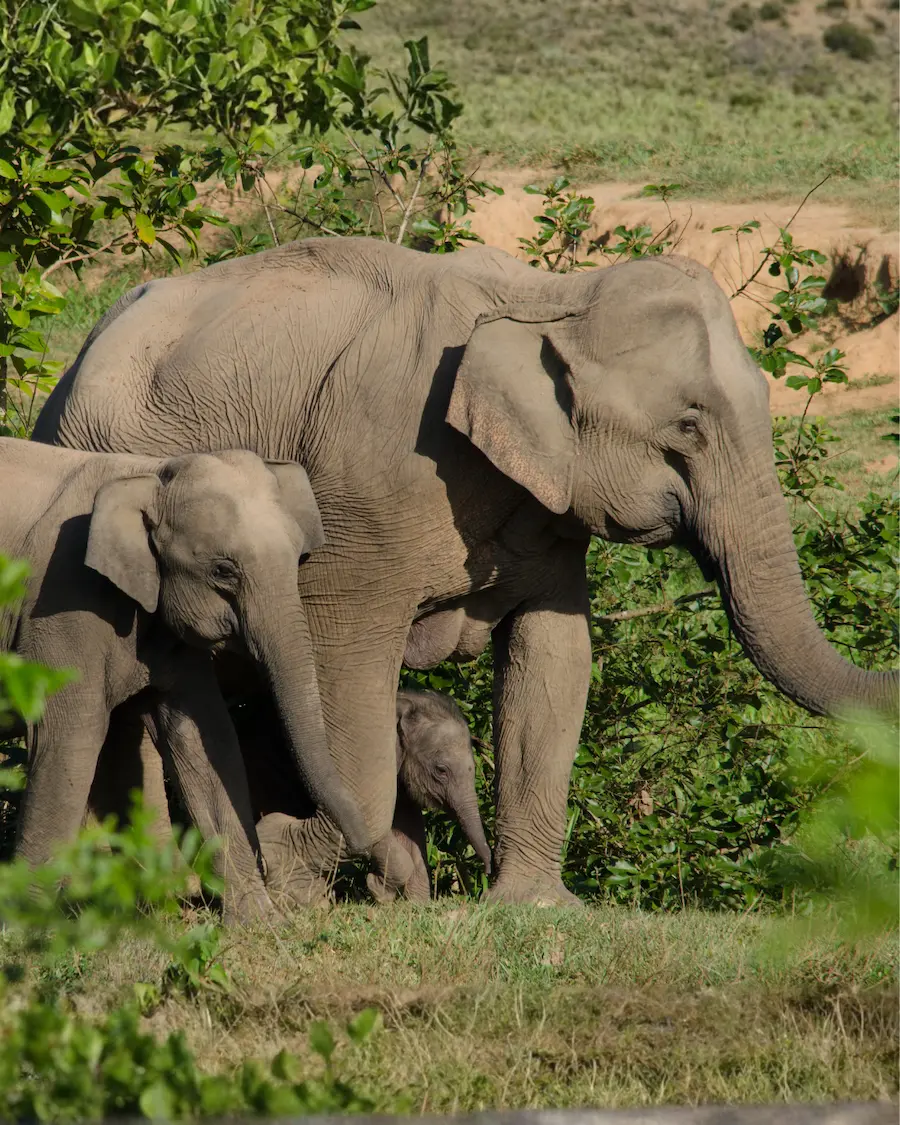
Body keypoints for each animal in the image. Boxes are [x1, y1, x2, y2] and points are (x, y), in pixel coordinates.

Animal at [0, 438, 367, 920]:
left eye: (297, 558)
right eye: (224, 571)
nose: (365, 844)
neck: (149, 473)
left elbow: (203, 738)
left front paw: (261, 921)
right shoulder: (62, 600)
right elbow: (67, 737)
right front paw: (27, 925)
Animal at [32, 236, 899, 906]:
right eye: (688, 426)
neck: (548, 298)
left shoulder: (549, 515)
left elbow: (556, 660)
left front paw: (537, 907)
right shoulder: (367, 499)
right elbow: (347, 663)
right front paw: (295, 870)